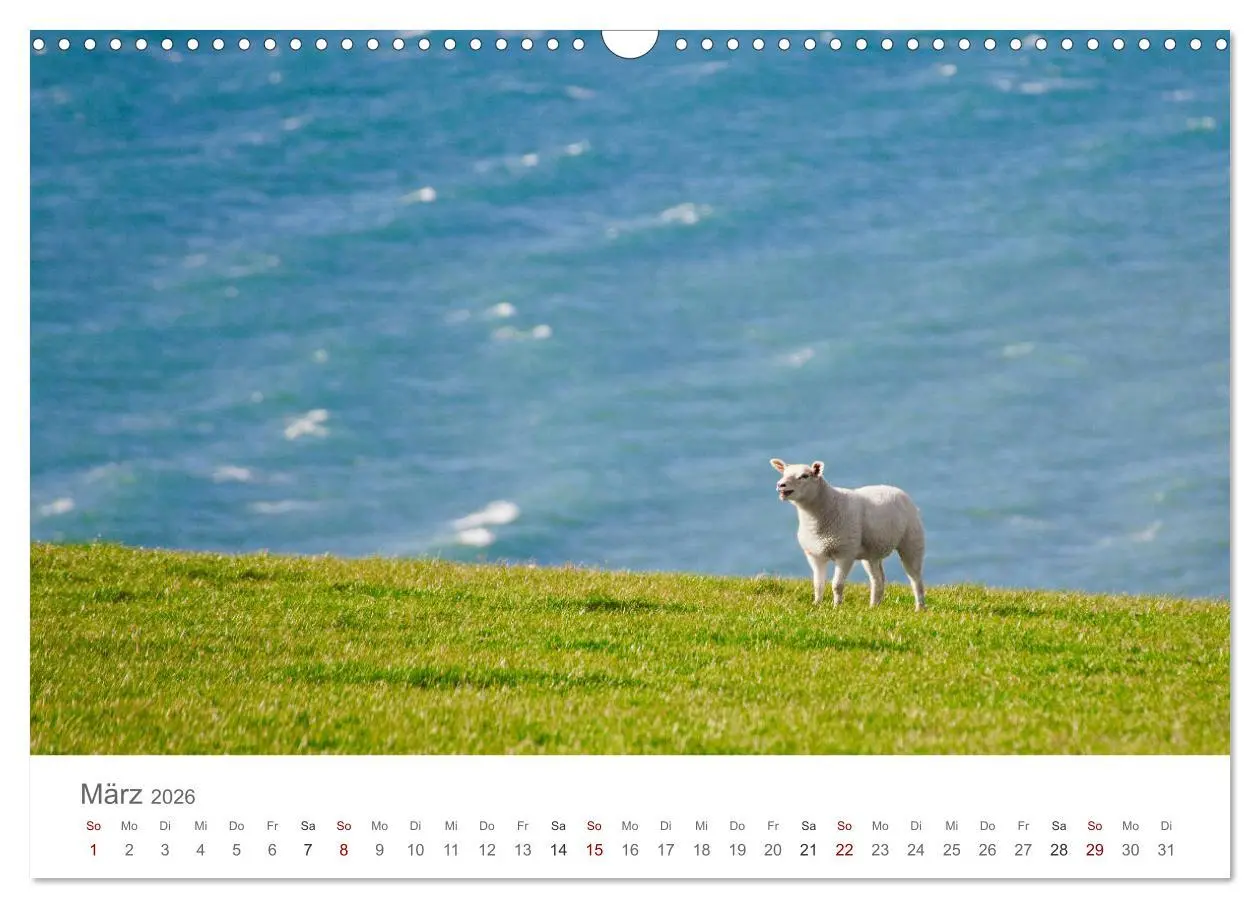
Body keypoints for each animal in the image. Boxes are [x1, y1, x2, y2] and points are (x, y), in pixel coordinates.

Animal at [770, 458, 927, 610]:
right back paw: (873, 606)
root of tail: (895, 489)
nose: (780, 485)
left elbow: (837, 585)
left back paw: (920, 608)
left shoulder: (845, 553)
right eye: (784, 473)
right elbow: (818, 584)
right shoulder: (814, 554)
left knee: (915, 578)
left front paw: (836, 607)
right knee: (878, 579)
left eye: (804, 476)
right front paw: (816, 604)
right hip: (872, 551)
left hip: (912, 540)